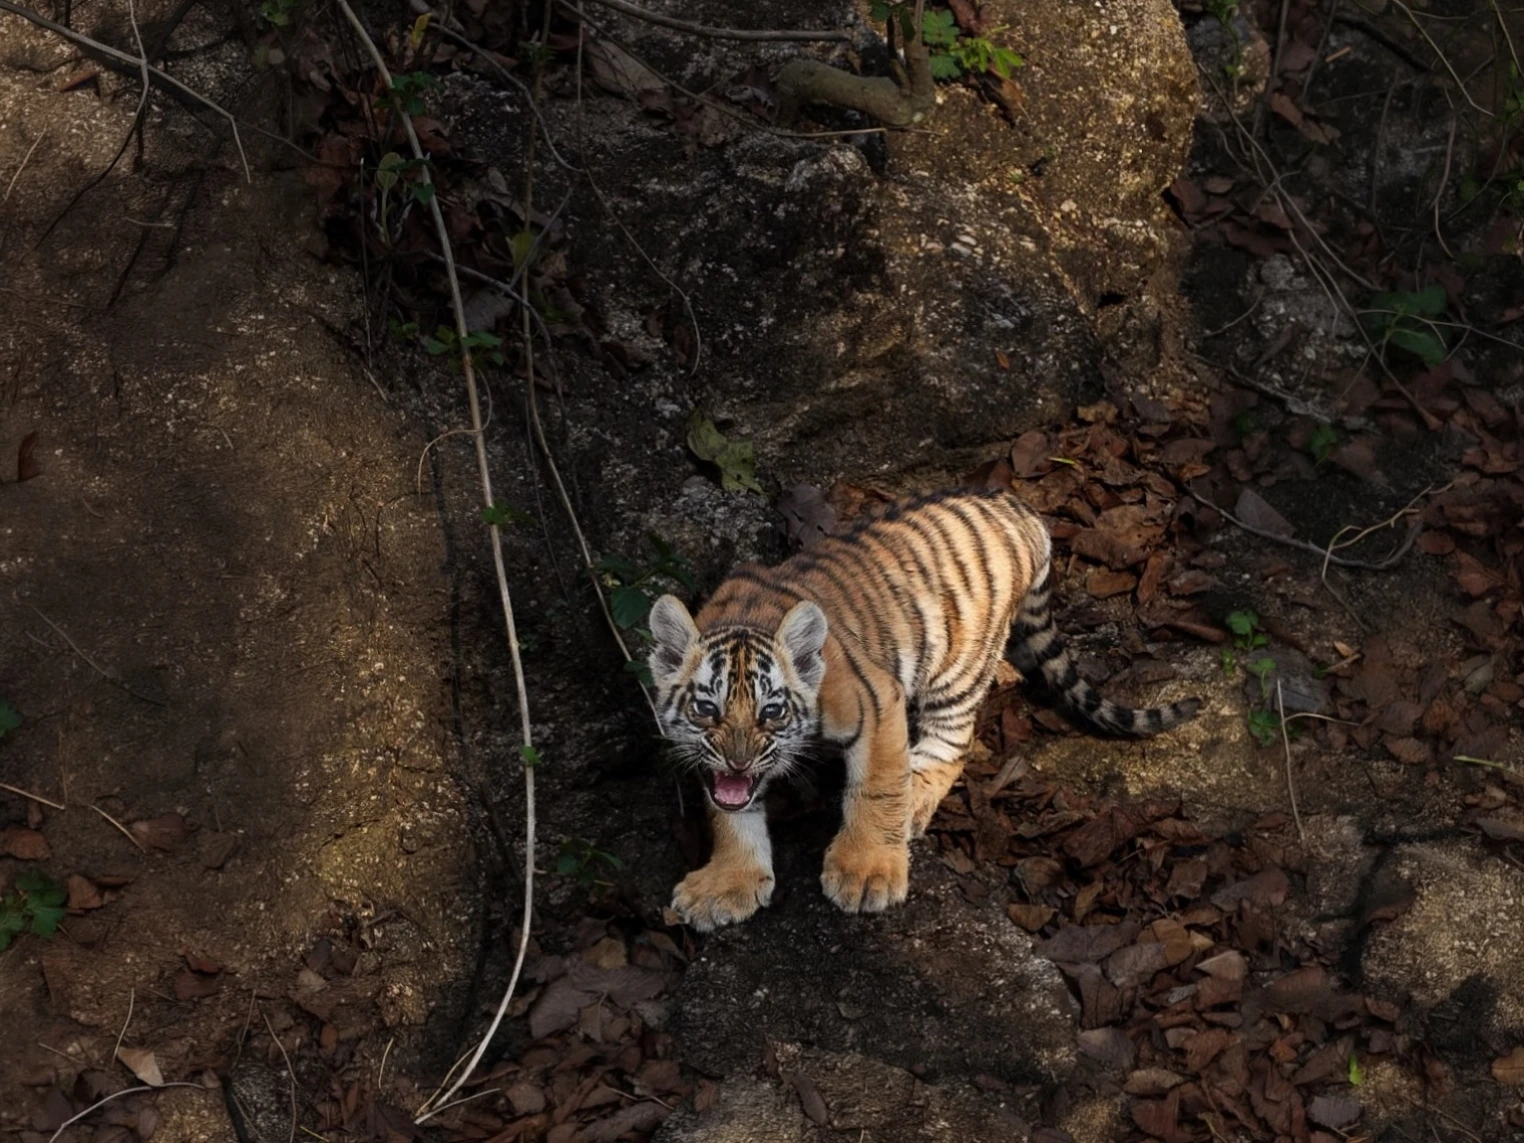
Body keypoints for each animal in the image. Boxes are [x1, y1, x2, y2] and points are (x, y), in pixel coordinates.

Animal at [647, 485, 1200, 931]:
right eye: (705, 709)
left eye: (772, 713)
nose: (738, 761)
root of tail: (1016, 506)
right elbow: (727, 813)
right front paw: (726, 884)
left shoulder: (875, 701)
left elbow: (877, 787)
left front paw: (867, 871)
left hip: (960, 663)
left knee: (953, 744)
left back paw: (914, 798)